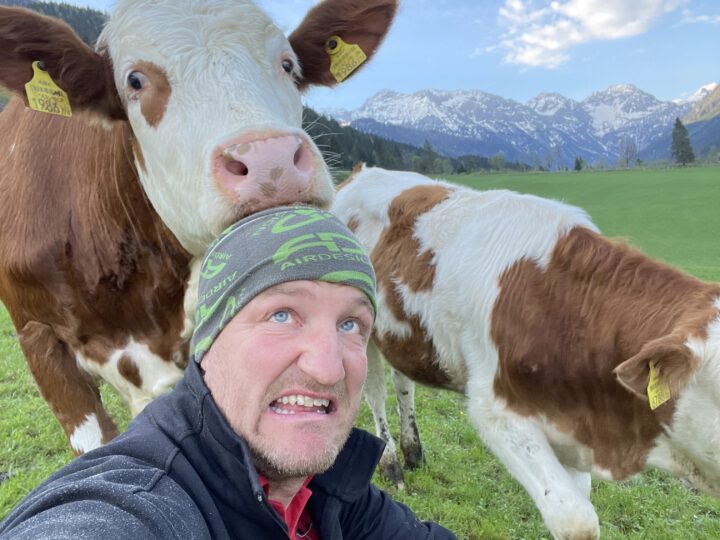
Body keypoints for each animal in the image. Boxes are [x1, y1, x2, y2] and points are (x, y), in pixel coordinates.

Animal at [333, 164, 720, 540]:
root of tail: (361, 172)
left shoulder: (571, 426)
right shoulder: (496, 412)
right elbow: (576, 520)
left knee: (403, 385)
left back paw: (413, 450)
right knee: (375, 393)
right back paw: (391, 463)